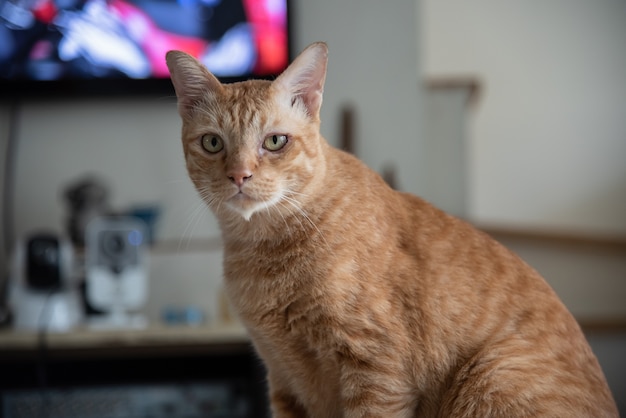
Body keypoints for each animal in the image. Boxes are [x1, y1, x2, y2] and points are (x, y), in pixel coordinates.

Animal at [165, 43, 616, 418]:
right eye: (212, 143)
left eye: (275, 141)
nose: (239, 175)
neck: (261, 249)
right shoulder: (284, 379)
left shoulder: (376, 370)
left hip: (493, 373)